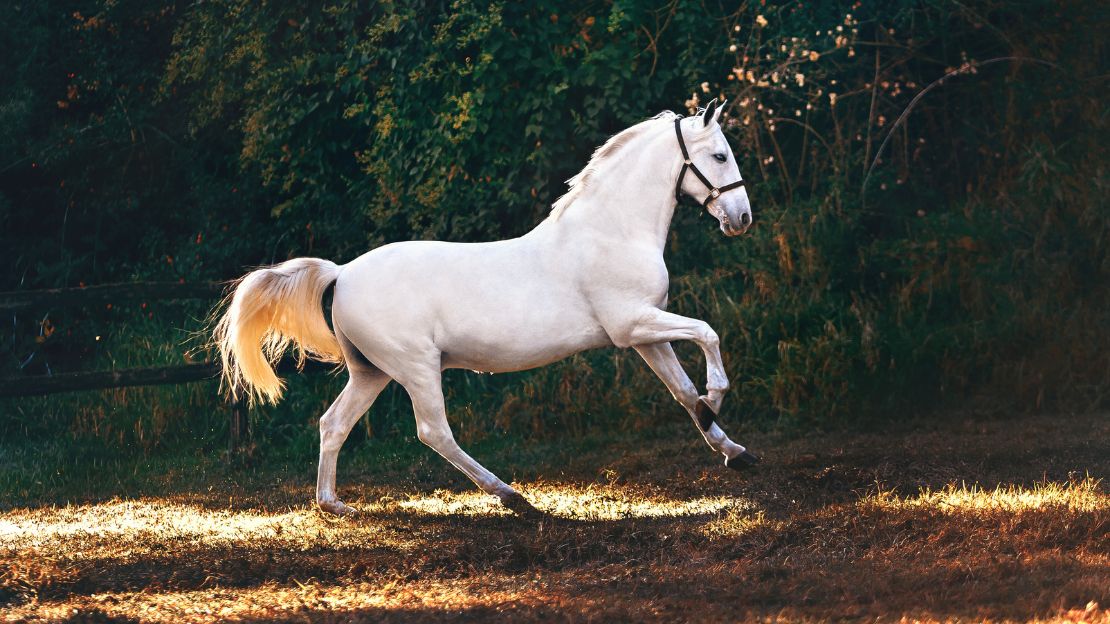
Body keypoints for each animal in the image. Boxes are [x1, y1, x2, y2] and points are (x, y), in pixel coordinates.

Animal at [213, 99, 759, 516]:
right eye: (719, 155)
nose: (742, 219)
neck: (611, 231)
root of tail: (343, 273)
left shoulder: (646, 335)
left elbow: (683, 392)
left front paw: (733, 450)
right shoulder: (633, 326)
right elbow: (707, 334)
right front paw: (717, 397)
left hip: (372, 371)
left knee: (334, 423)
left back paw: (333, 505)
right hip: (416, 367)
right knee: (434, 431)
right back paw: (513, 497)